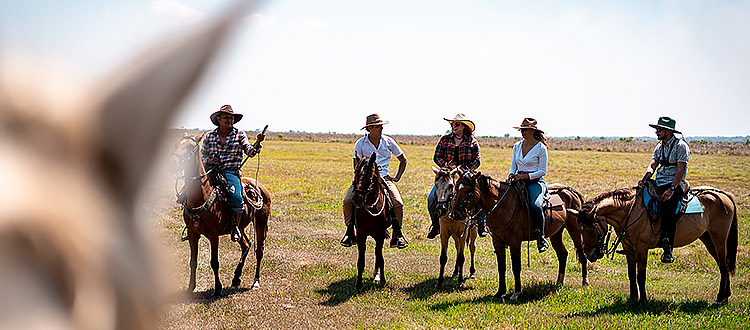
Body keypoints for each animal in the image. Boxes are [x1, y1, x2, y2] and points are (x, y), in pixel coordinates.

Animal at [170, 133, 274, 296]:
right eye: (176, 145)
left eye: (190, 148)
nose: (172, 163)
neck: (202, 195)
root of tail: (260, 187)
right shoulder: (193, 234)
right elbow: (193, 261)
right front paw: (191, 287)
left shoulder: (213, 236)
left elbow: (214, 262)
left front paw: (218, 288)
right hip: (239, 228)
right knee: (246, 245)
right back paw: (236, 278)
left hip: (261, 222)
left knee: (259, 250)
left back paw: (255, 281)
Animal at [354, 152, 396, 288]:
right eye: (356, 172)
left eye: (370, 175)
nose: (357, 198)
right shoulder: (361, 234)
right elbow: (361, 259)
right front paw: (359, 283)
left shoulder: (380, 234)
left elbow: (379, 256)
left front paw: (383, 280)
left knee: (378, 254)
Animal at [452, 169, 592, 300]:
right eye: (456, 188)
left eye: (468, 191)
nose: (455, 214)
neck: (502, 205)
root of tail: (570, 191)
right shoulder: (498, 242)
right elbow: (501, 267)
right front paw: (500, 292)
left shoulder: (515, 242)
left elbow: (516, 266)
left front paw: (516, 293)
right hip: (556, 233)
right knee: (562, 254)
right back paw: (559, 282)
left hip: (575, 231)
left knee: (582, 254)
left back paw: (585, 282)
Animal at [576, 184, 740, 302]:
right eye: (580, 228)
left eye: (591, 229)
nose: (590, 255)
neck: (630, 211)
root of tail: (724, 195)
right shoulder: (628, 249)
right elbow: (631, 273)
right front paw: (633, 298)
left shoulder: (642, 248)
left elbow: (641, 274)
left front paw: (643, 300)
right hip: (708, 239)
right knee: (724, 265)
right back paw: (725, 296)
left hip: (719, 238)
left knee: (724, 265)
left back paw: (720, 298)